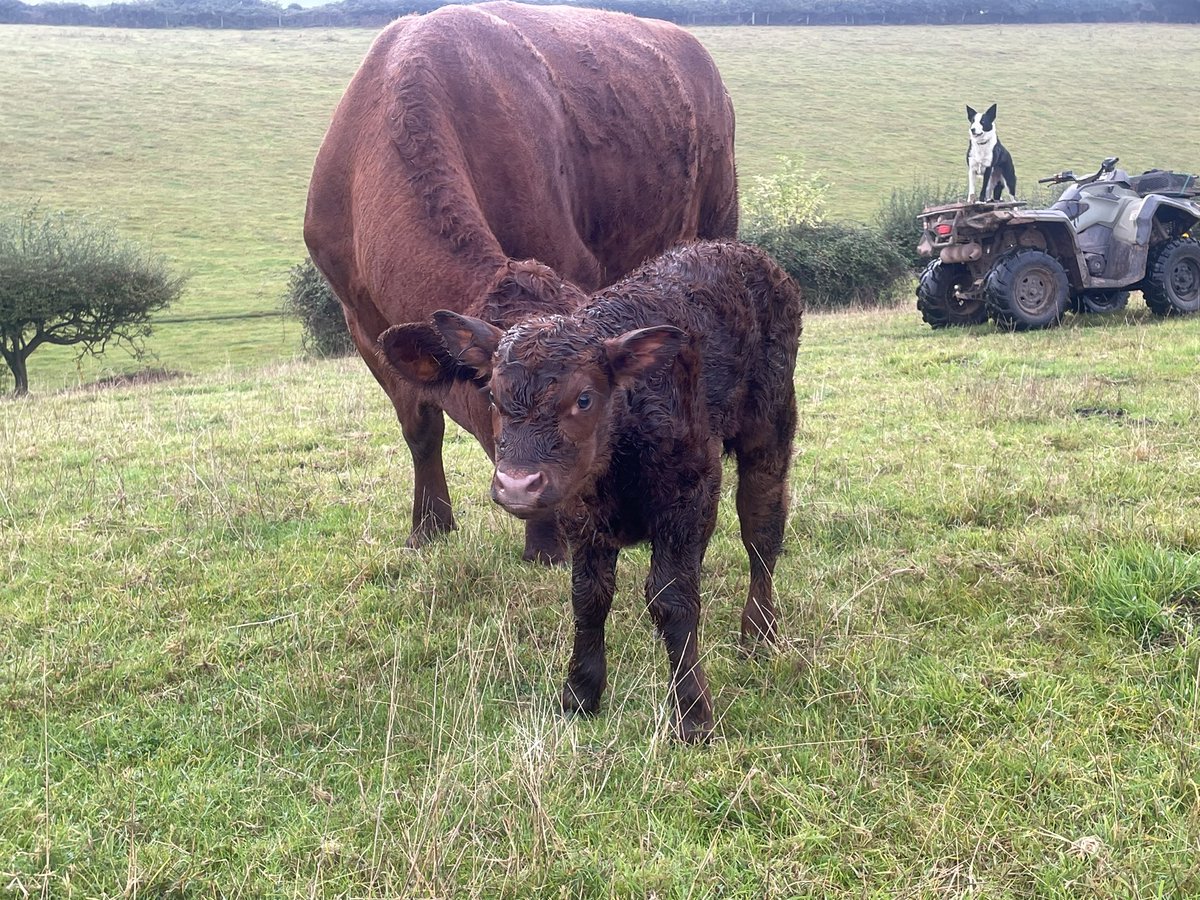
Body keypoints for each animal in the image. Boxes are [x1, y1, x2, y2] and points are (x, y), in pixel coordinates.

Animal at [303, 1, 739, 565]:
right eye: (490, 392)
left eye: (582, 395)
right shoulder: (362, 322)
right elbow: (420, 427)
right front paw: (429, 527)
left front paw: (548, 540)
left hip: (718, 216)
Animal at [377, 241, 803, 742]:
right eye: (493, 395)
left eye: (584, 398)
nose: (517, 484)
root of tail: (741, 252)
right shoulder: (582, 518)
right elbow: (589, 597)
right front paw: (580, 693)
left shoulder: (689, 496)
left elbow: (674, 600)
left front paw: (693, 714)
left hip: (769, 430)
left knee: (762, 531)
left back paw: (759, 633)